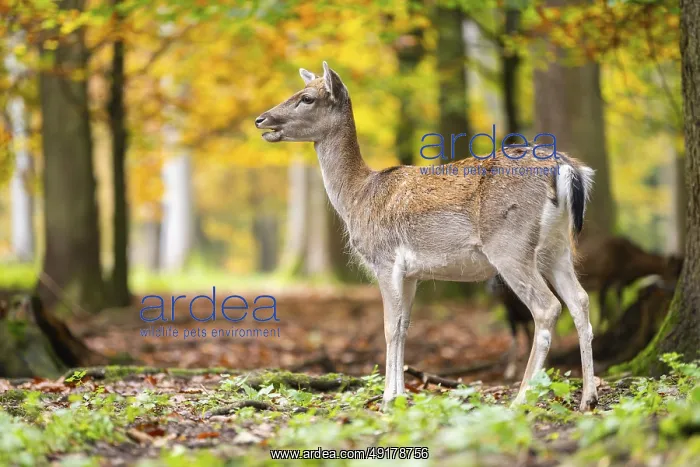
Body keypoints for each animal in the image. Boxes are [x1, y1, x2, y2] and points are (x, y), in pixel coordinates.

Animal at [255, 62, 598, 411]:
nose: (261, 119)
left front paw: (387, 399)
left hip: (509, 244)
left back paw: (522, 398)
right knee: (580, 301)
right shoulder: (412, 274)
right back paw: (589, 397)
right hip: (557, 247)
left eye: (306, 98)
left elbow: (389, 327)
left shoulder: (385, 259)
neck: (357, 198)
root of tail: (568, 169)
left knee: (547, 307)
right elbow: (404, 326)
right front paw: (400, 396)